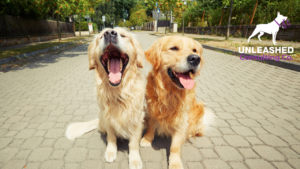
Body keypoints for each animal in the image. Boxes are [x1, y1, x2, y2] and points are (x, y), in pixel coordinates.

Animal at [65, 28, 146, 169]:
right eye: (102, 35)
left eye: (123, 35)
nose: (110, 33)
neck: (118, 93)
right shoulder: (108, 118)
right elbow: (111, 137)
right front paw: (111, 151)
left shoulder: (136, 119)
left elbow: (133, 142)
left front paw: (134, 160)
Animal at [139, 36, 214, 169]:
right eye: (174, 48)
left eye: (194, 50)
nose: (195, 59)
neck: (170, 93)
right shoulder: (152, 109)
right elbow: (151, 127)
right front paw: (147, 139)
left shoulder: (182, 120)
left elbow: (175, 146)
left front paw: (175, 163)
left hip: (199, 110)